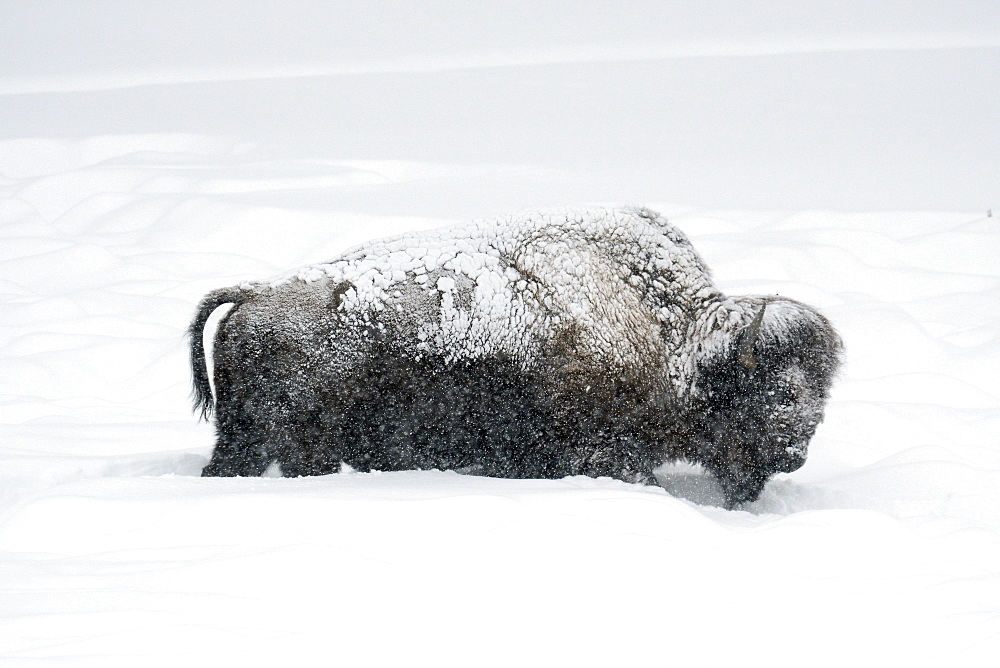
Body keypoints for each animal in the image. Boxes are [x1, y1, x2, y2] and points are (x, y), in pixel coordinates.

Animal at [189, 206, 844, 504]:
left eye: (822, 385)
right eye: (769, 386)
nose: (795, 447)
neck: (673, 336)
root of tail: (254, 294)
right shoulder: (605, 452)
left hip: (256, 443)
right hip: (280, 447)